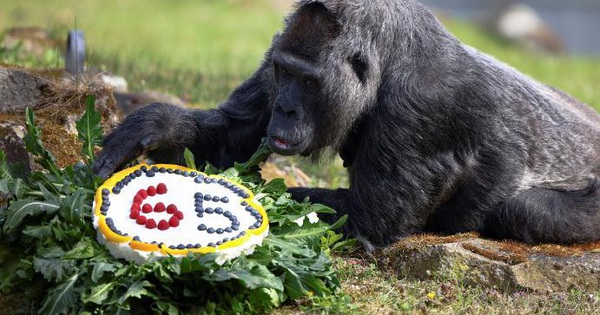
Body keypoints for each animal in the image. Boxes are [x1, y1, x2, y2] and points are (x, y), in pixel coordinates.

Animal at [92, 0, 600, 249]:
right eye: (284, 72)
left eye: (309, 82)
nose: (285, 110)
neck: (391, 56)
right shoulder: (276, 50)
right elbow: (231, 139)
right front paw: (156, 124)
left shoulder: (426, 107)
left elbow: (362, 225)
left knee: (522, 211)